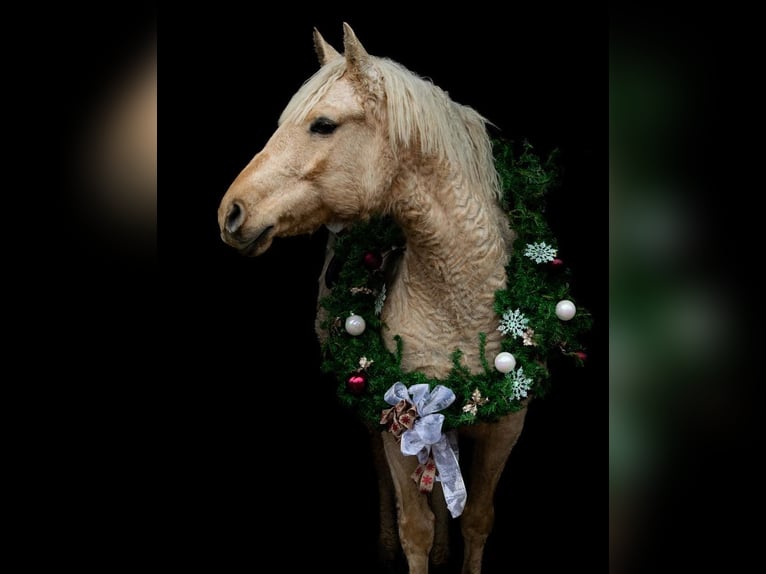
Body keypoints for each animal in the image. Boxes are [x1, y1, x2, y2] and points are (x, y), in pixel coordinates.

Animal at [219, 23, 532, 574]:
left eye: (323, 125)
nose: (230, 212)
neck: (461, 299)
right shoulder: (396, 422)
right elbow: (415, 528)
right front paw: (410, 544)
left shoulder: (506, 425)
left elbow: (476, 519)